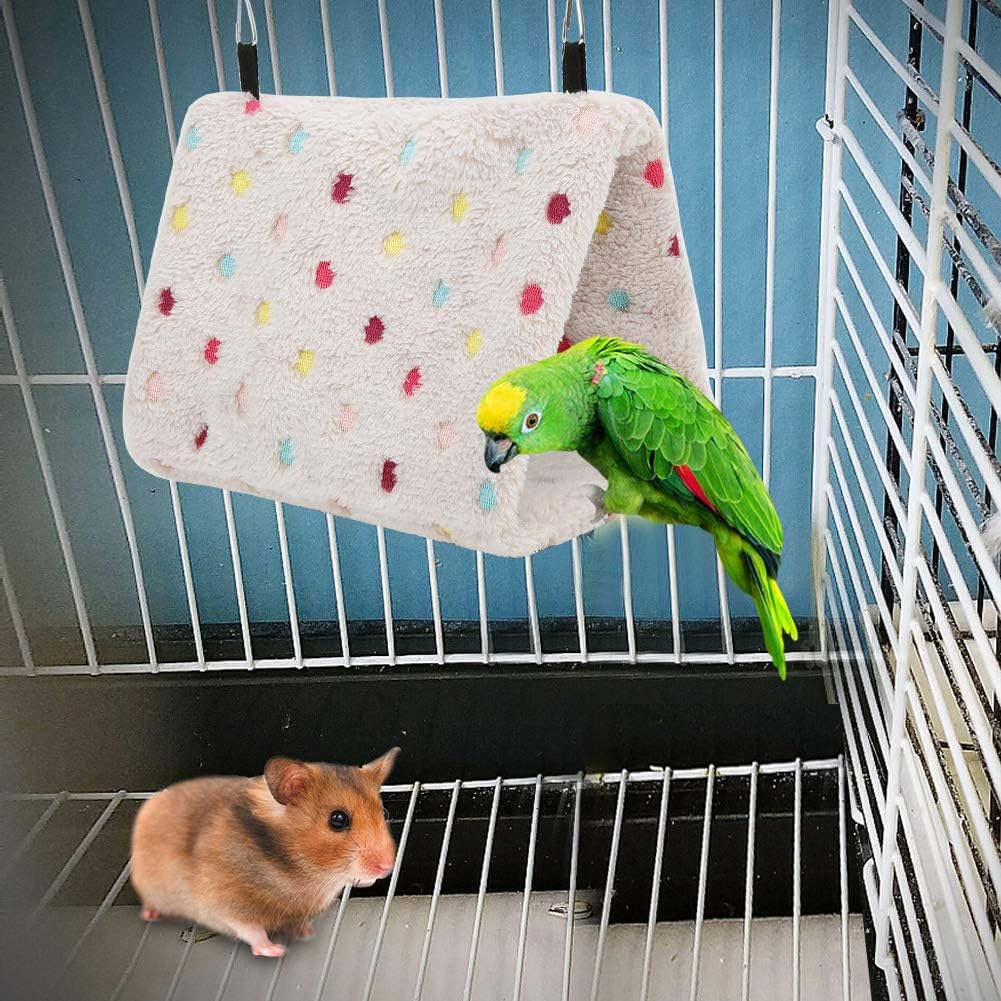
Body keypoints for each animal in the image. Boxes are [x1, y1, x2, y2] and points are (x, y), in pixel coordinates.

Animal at [130, 748, 399, 957]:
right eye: (338, 819)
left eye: (383, 812)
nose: (387, 867)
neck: (304, 874)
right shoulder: (224, 903)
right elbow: (251, 930)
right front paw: (276, 951)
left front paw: (305, 933)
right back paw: (150, 914)